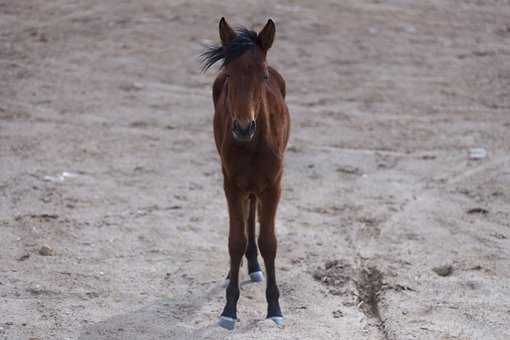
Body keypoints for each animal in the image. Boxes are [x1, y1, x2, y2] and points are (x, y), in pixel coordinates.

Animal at [200, 17, 288, 330]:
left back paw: (253, 266)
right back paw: (238, 270)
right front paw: (229, 309)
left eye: (263, 75)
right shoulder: (231, 184)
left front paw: (274, 308)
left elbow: (269, 243)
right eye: (228, 74)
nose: (242, 127)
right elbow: (234, 241)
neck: (252, 145)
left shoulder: (274, 185)